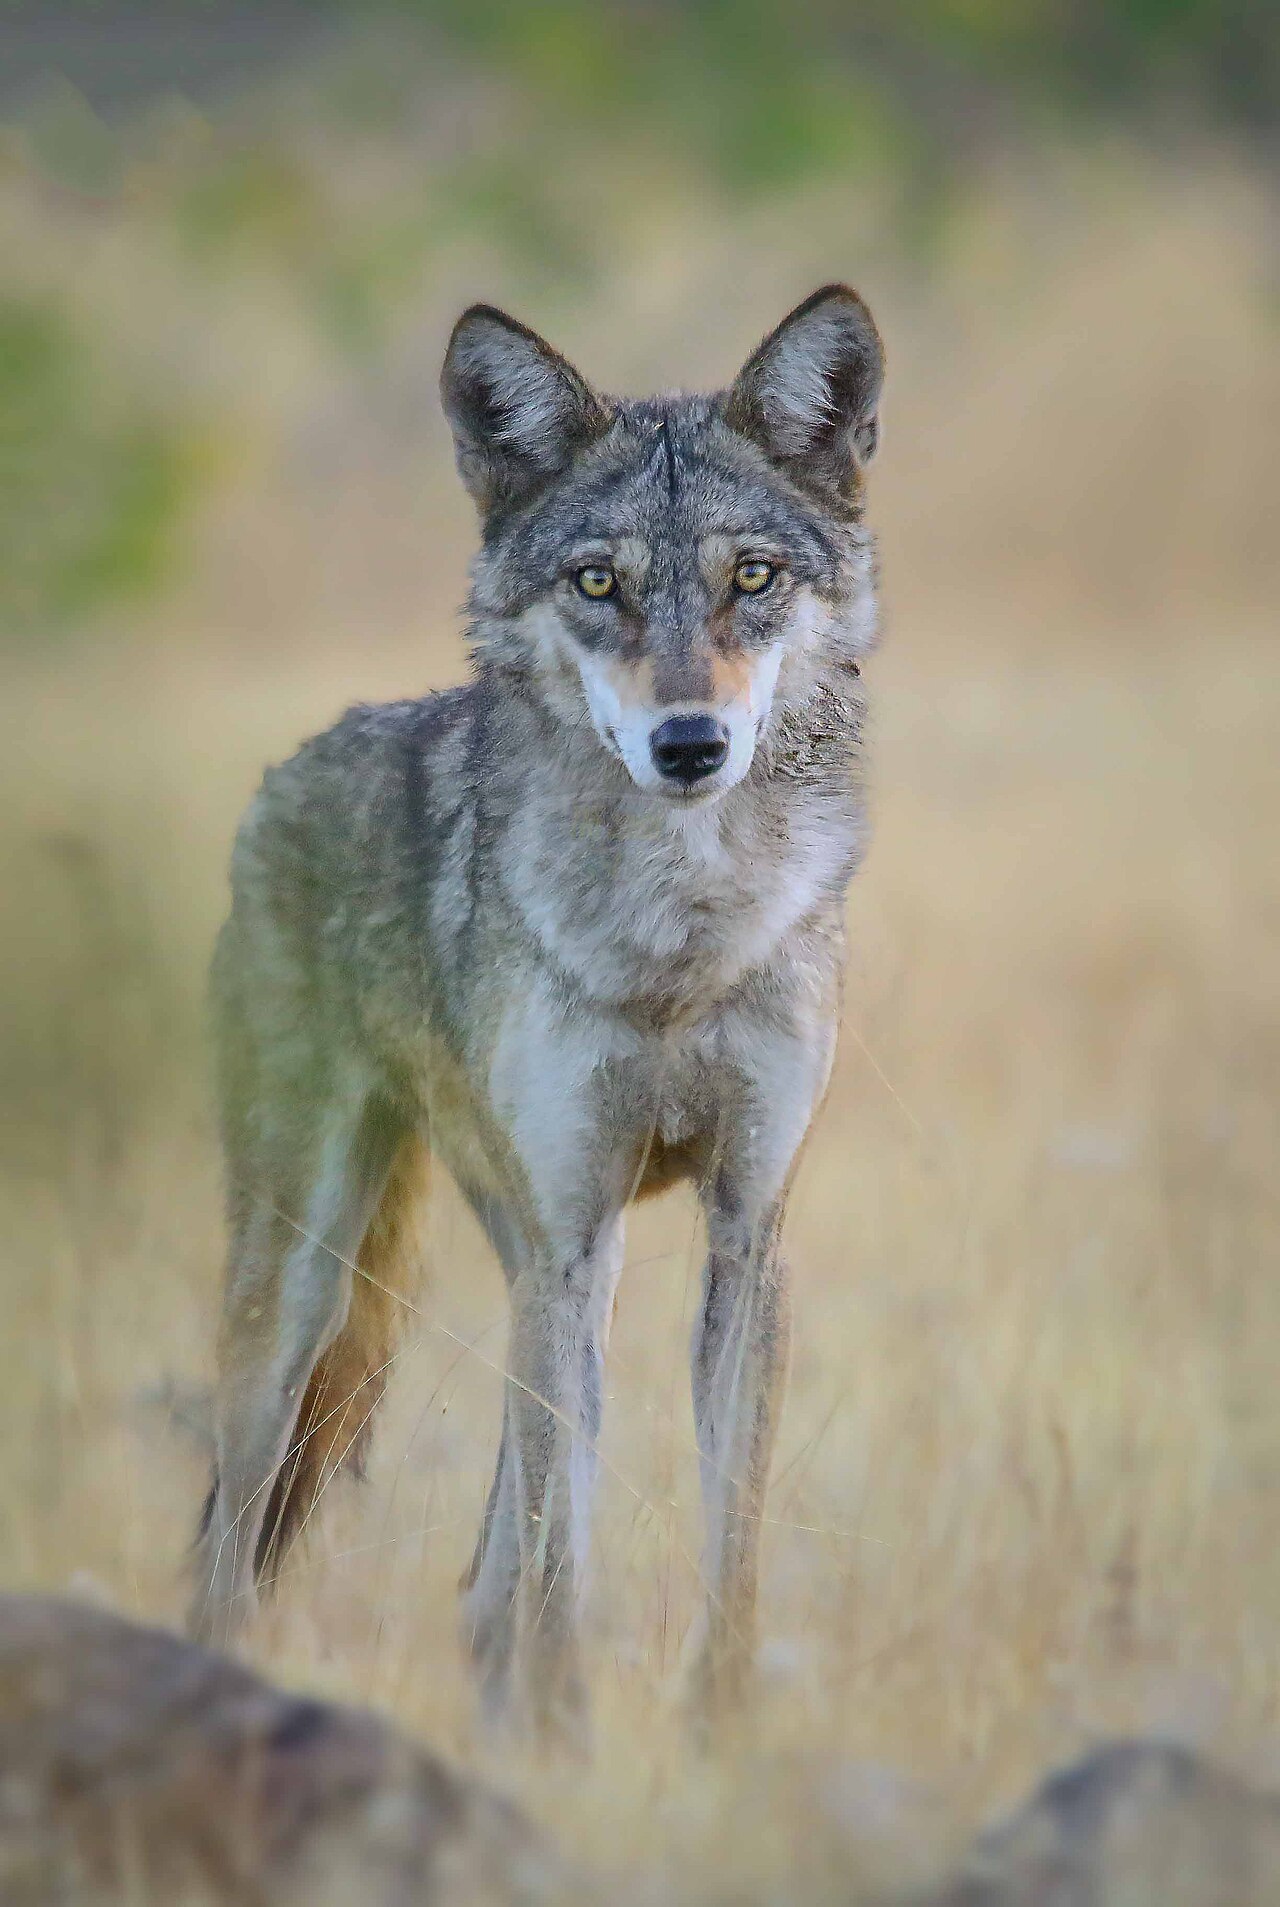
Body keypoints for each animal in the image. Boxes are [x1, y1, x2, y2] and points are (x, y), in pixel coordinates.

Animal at [189, 284, 886, 1735]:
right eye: (596, 582)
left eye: (751, 577)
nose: (689, 743)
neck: (679, 934)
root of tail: (288, 766)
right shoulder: (569, 1227)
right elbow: (569, 1542)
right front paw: (567, 1736)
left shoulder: (745, 1230)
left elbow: (723, 1534)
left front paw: (712, 1731)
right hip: (311, 1277)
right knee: (232, 1530)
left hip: (559, 1260)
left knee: (482, 1560)